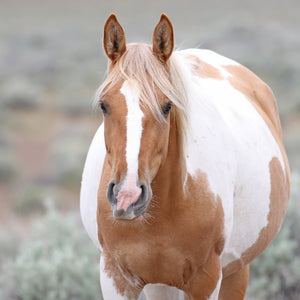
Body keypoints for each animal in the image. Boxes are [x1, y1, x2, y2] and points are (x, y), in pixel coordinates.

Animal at [80, 14, 290, 300]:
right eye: (104, 105)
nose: (127, 196)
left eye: (167, 106)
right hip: (160, 284)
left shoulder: (206, 280)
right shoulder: (116, 278)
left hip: (236, 271)